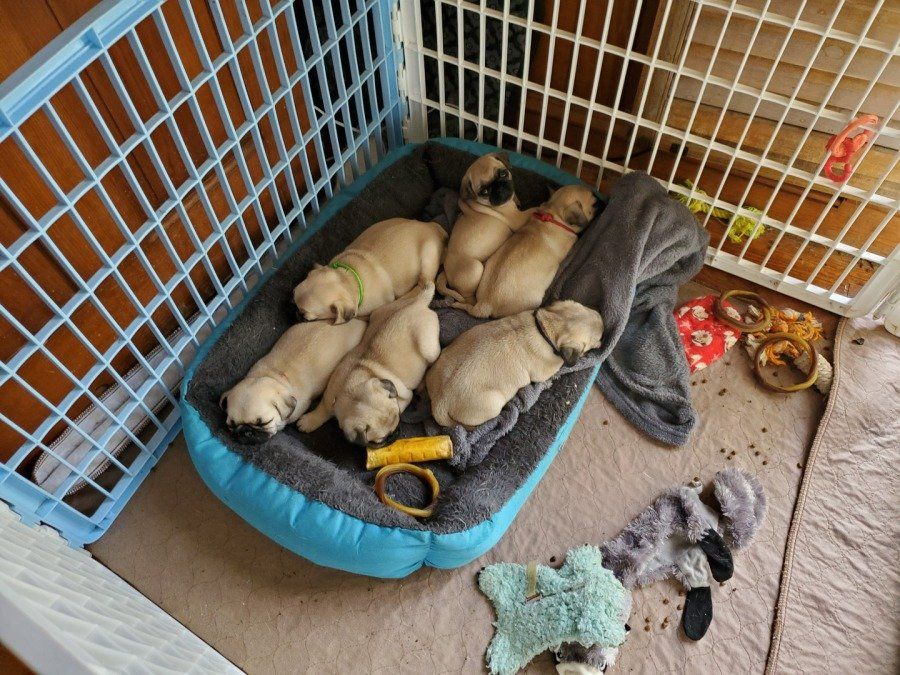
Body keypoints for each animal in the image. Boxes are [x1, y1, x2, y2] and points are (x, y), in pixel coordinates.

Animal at [293, 217, 447, 323]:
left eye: (306, 317)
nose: (296, 314)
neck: (349, 278)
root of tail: (433, 227)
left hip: (427, 260)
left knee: (423, 283)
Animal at [298, 283, 440, 447]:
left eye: (399, 415)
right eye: (380, 441)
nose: (396, 433)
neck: (349, 392)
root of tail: (418, 303)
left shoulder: (404, 398)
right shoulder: (330, 393)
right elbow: (324, 408)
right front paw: (310, 421)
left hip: (430, 349)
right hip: (377, 313)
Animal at [426, 300, 603, 428]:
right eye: (596, 340)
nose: (602, 317)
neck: (547, 326)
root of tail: (440, 401)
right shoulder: (547, 369)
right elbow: (558, 366)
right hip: (493, 403)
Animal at [435, 152, 528, 303]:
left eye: (503, 174)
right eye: (484, 191)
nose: (499, 188)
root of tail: (446, 271)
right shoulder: (519, 219)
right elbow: (536, 209)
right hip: (475, 269)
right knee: (467, 297)